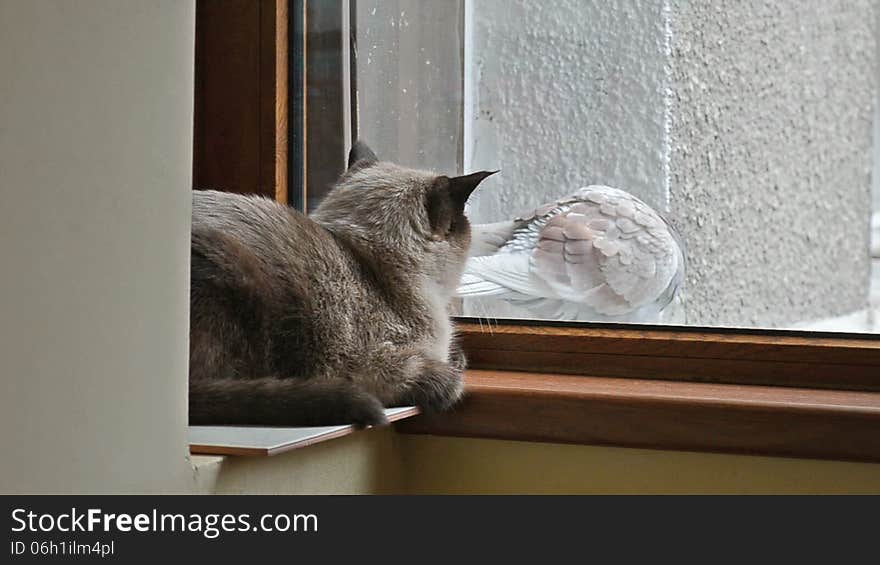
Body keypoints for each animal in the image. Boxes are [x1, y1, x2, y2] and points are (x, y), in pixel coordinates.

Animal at [189, 141, 496, 428]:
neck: (369, 266)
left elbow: (457, 356)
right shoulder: (364, 364)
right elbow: (439, 376)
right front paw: (447, 380)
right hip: (228, 271)